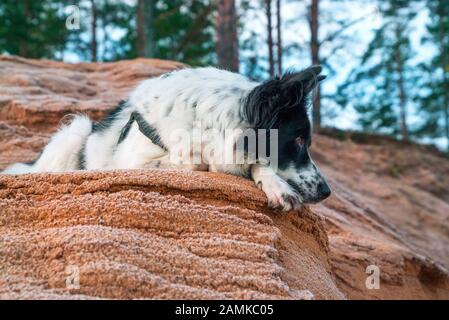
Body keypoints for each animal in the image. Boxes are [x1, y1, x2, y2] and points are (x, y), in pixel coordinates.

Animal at [2, 65, 328, 210]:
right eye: (299, 140)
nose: (326, 191)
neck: (204, 119)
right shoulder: (131, 163)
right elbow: (194, 162)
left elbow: (256, 163)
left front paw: (276, 186)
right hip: (76, 130)